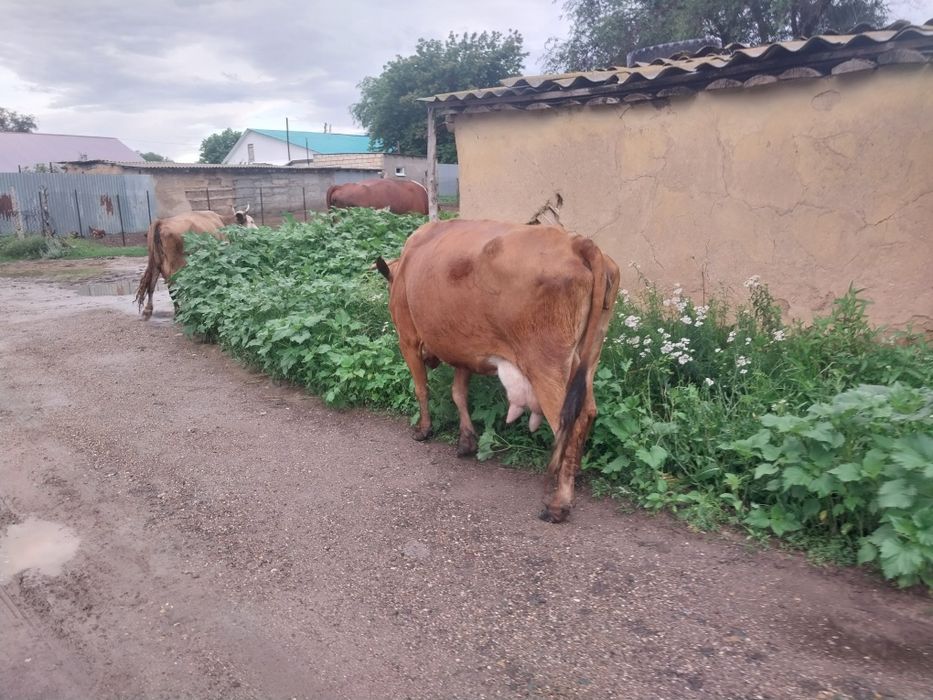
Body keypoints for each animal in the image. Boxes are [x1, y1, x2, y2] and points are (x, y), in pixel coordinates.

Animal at [375, 219, 620, 522]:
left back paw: (559, 503)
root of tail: (579, 243)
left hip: (546, 363)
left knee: (569, 421)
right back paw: (573, 469)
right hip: (586, 357)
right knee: (588, 410)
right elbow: (458, 393)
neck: (404, 267)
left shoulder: (407, 339)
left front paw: (424, 430)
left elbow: (421, 388)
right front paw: (466, 441)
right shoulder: (465, 349)